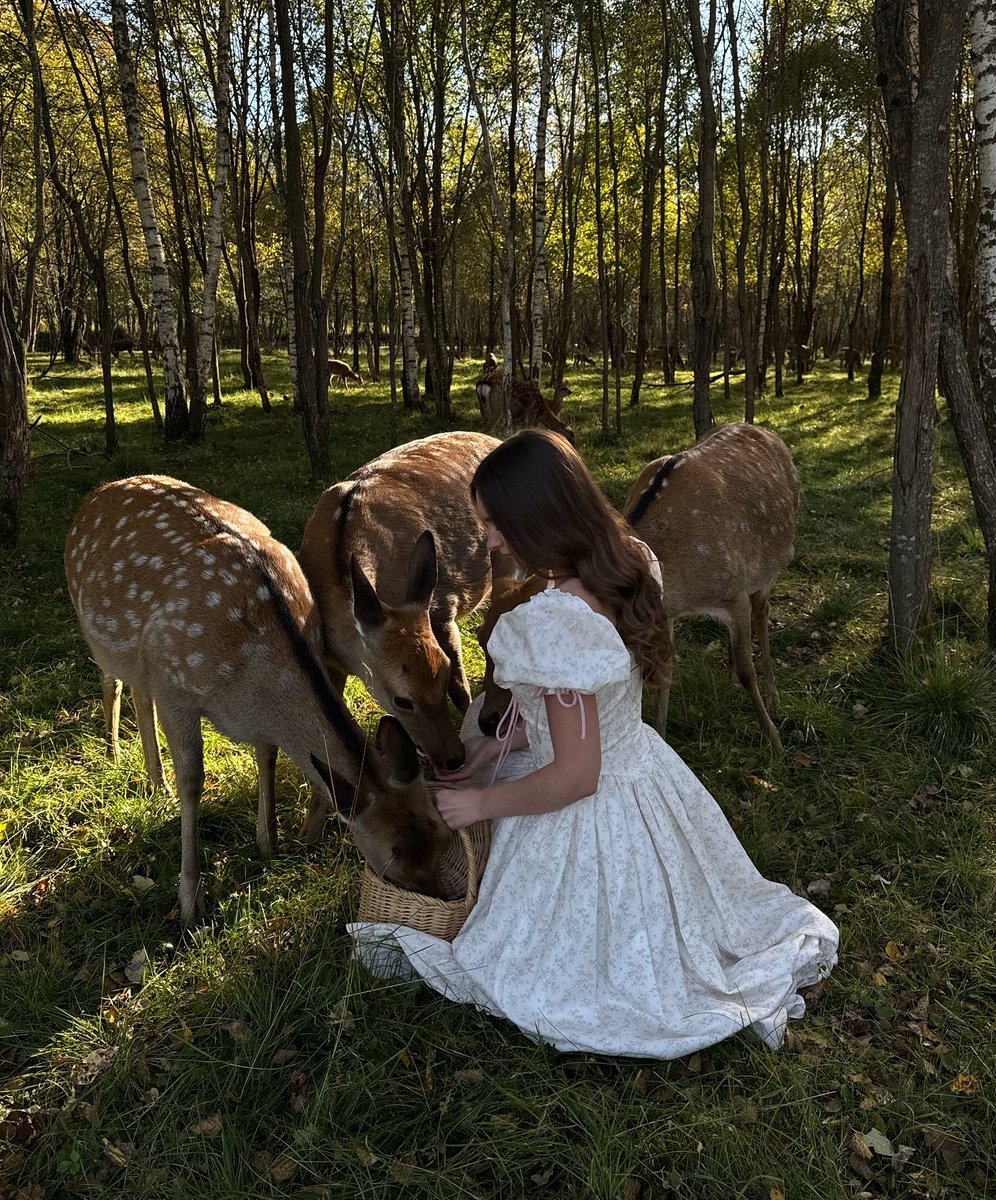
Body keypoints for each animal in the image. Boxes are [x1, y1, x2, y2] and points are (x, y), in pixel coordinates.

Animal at [65, 475, 450, 923]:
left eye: (439, 832)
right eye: (392, 856)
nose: (439, 897)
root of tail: (99, 492)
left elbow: (267, 755)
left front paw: (269, 843)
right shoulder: (175, 686)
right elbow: (193, 780)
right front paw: (190, 900)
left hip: (140, 660)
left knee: (140, 695)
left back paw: (155, 783)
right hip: (98, 635)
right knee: (113, 683)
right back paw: (116, 755)